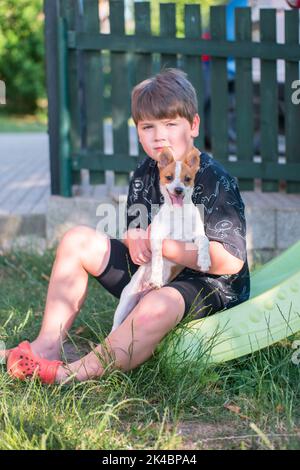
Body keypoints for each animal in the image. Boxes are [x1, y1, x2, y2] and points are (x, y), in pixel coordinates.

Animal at [111, 145, 212, 332]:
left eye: (187, 179)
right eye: (169, 177)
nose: (178, 190)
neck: (178, 213)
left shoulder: (196, 237)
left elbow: (205, 242)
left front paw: (204, 260)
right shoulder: (157, 236)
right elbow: (157, 257)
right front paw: (156, 277)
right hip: (125, 303)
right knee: (115, 326)